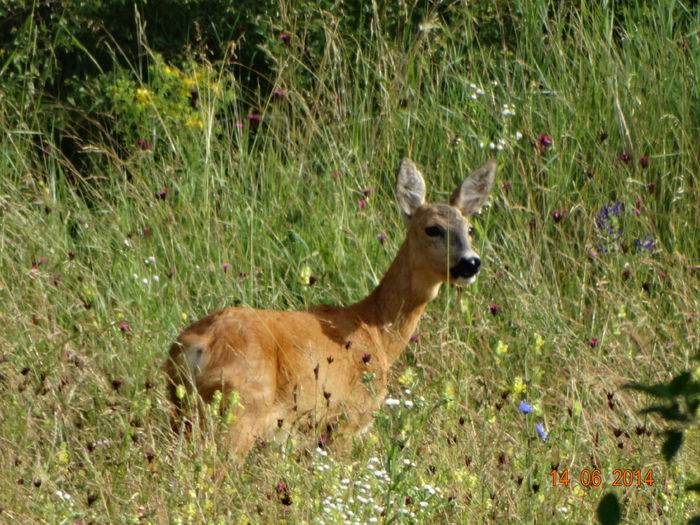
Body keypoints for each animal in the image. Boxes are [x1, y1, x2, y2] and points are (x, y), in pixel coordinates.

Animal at [165, 158, 498, 456]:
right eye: (432, 228)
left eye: (469, 228)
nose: (470, 263)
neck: (374, 330)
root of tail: (196, 346)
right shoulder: (347, 418)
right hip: (241, 409)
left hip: (183, 411)